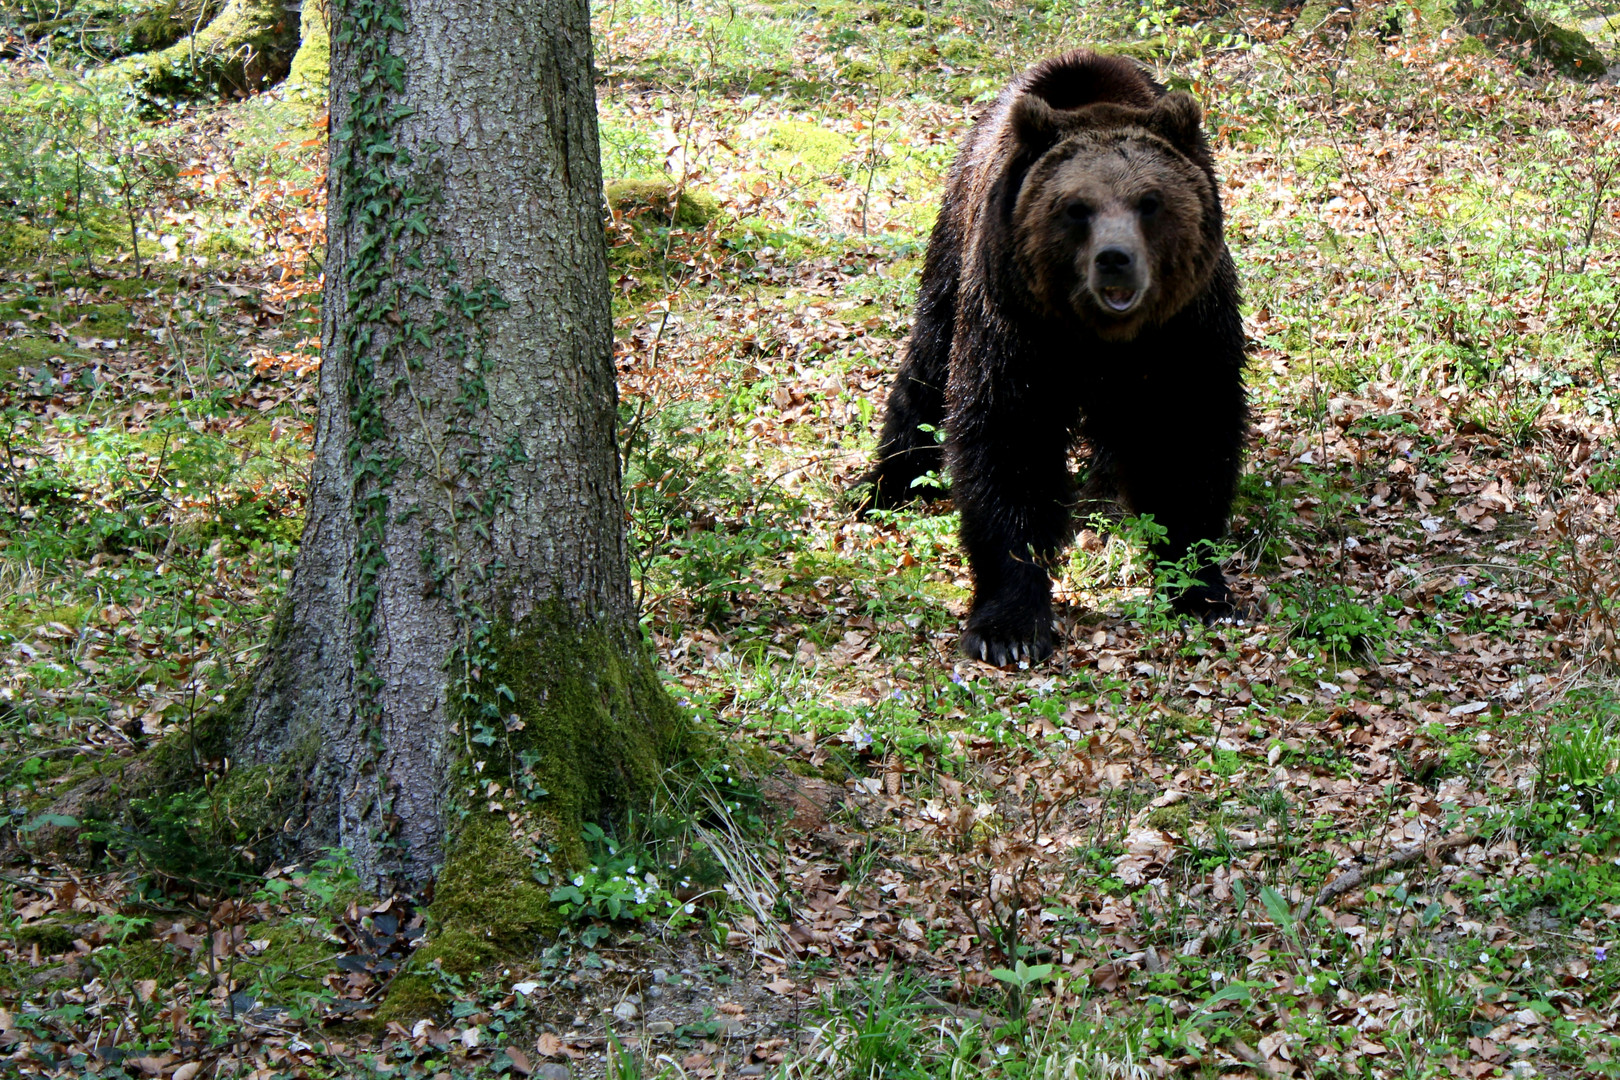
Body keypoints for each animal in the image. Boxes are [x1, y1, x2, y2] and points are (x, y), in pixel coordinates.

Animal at [861, 52, 1250, 667]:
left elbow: (1189, 432)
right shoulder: (1016, 322)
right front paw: (1010, 628)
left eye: (1150, 201)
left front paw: (1201, 589)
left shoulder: (1187, 326)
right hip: (957, 235)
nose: (1115, 259)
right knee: (926, 361)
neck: (1099, 336)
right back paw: (886, 485)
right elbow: (1007, 437)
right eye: (1076, 208)